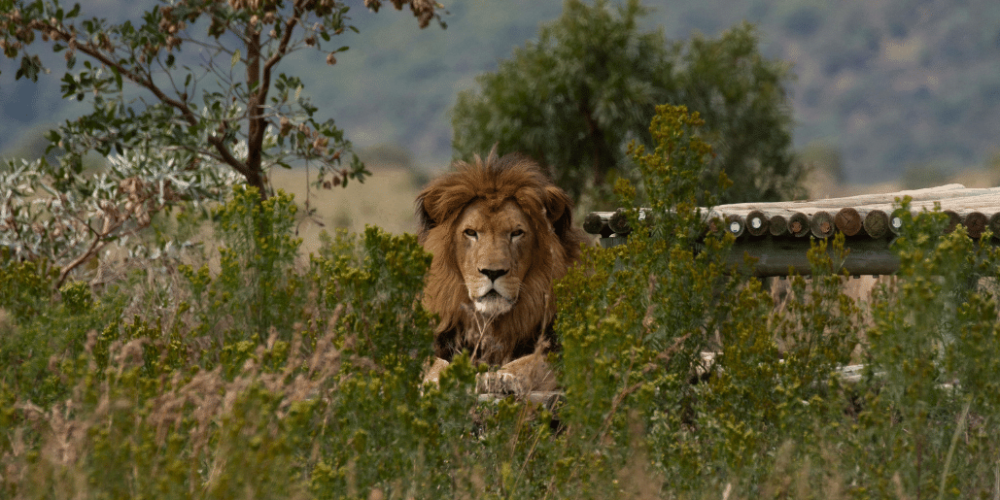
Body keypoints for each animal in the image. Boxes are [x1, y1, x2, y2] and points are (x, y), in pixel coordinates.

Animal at [416, 149, 590, 393]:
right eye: (471, 232)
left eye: (516, 233)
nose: (492, 272)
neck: (491, 324)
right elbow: (431, 362)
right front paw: (440, 378)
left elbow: (533, 362)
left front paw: (500, 378)